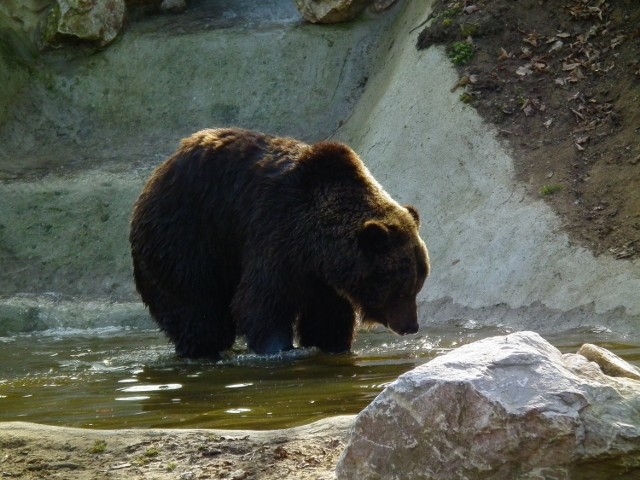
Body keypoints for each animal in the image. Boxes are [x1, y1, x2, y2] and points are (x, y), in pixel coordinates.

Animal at [130, 127, 430, 356]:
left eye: (417, 285)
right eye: (400, 289)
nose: (411, 326)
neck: (316, 247)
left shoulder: (322, 278)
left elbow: (328, 317)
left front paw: (333, 344)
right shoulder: (275, 230)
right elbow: (261, 300)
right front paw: (278, 348)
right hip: (186, 234)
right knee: (196, 307)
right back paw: (202, 348)